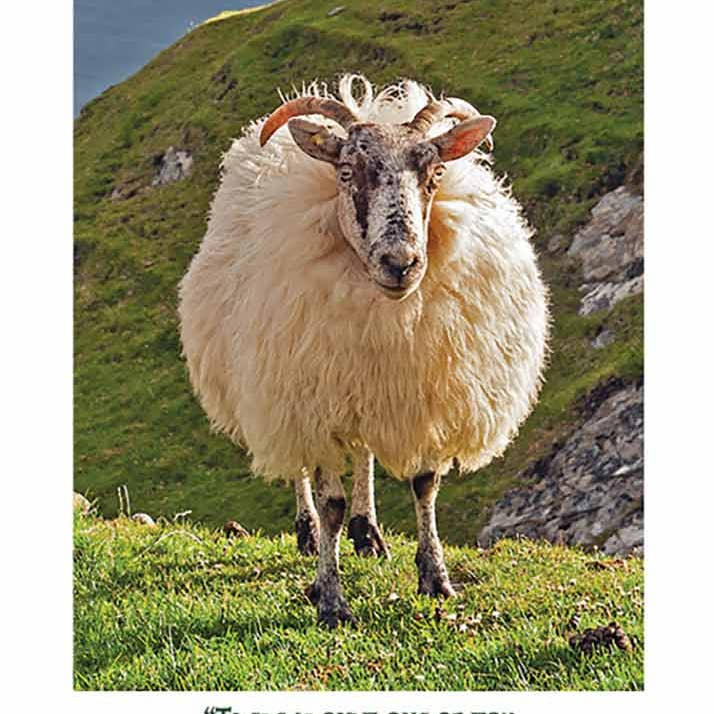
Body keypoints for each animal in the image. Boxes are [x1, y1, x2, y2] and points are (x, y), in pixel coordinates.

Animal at [178, 75, 549, 627]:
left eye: (436, 173)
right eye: (348, 171)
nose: (400, 262)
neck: (385, 315)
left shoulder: (419, 390)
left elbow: (424, 485)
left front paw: (435, 578)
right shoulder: (316, 398)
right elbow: (329, 498)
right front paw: (330, 599)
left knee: (365, 451)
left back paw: (367, 530)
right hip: (279, 384)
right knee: (300, 467)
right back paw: (311, 532)